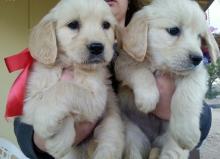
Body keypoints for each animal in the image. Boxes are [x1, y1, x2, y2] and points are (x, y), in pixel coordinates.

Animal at [21, 0, 124, 158]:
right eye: (73, 24)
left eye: (106, 25)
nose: (97, 47)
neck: (72, 65)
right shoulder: (30, 102)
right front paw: (60, 138)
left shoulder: (98, 100)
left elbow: (64, 87)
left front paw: (46, 118)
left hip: (111, 128)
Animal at [114, 0, 219, 158]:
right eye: (173, 30)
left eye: (199, 37)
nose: (198, 59)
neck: (162, 67)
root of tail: (153, 142)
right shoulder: (124, 63)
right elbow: (140, 71)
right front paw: (148, 98)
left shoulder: (197, 74)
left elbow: (186, 95)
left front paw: (187, 132)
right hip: (132, 134)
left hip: (171, 141)